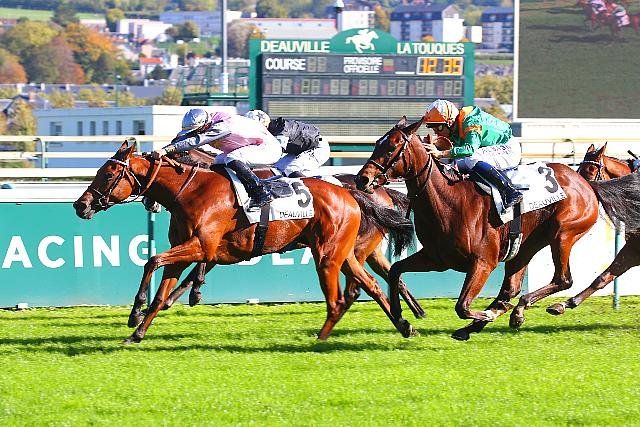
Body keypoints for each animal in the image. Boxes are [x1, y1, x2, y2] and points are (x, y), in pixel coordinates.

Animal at [157, 149, 426, 319]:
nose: (153, 206)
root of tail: (384, 193)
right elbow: (201, 262)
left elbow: (199, 266)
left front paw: (184, 295)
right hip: (368, 249)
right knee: (389, 272)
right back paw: (415, 311)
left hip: (357, 245)